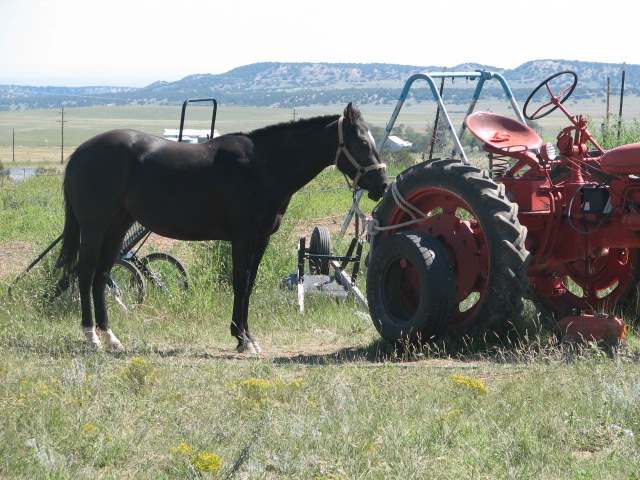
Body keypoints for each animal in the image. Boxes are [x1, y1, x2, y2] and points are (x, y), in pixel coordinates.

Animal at [56, 104, 384, 352]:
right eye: (362, 143)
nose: (382, 184)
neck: (264, 165)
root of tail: (79, 153)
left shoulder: (261, 239)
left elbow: (249, 284)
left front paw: (247, 336)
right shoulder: (244, 237)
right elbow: (241, 282)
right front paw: (241, 339)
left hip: (117, 226)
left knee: (101, 276)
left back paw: (111, 337)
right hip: (94, 227)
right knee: (85, 274)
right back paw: (92, 336)